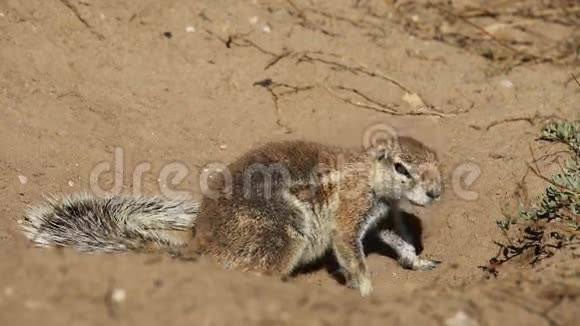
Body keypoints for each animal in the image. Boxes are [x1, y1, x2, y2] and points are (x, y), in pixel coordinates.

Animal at [20, 134, 442, 296]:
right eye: (402, 167)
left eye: (439, 163)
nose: (435, 192)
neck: (370, 177)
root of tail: (203, 247)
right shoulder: (350, 215)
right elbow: (351, 254)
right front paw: (367, 292)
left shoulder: (381, 217)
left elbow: (397, 239)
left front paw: (419, 260)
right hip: (284, 233)